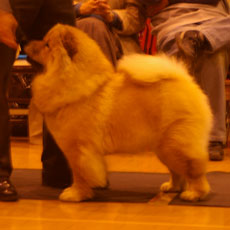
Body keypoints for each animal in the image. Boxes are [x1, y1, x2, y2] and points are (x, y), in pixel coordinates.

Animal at [24, 24, 212, 202]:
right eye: (44, 41)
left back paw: (194, 194)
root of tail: (185, 80)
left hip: (175, 144)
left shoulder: (79, 151)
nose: (26, 43)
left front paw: (76, 194)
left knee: (194, 171)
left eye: (47, 45)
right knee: (177, 171)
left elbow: (80, 174)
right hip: (164, 148)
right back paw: (172, 187)